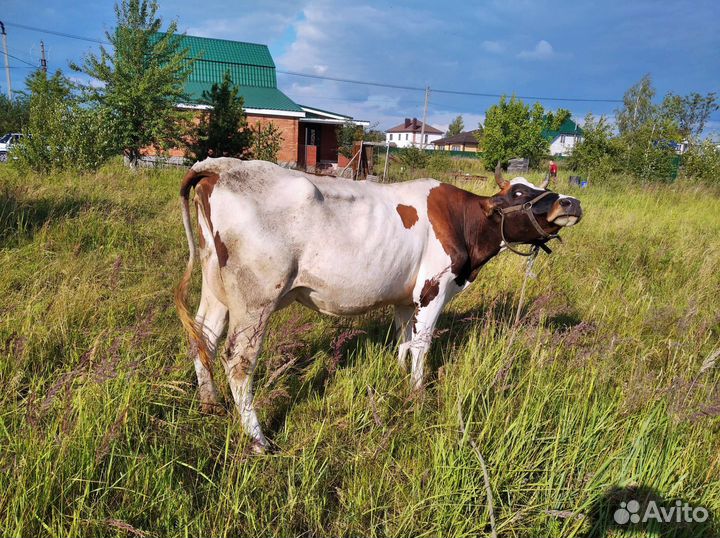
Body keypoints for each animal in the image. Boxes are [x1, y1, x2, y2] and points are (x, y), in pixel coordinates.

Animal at [175, 157, 583, 451]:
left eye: (544, 188)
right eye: (518, 194)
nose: (571, 202)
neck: (462, 222)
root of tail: (221, 166)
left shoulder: (405, 296)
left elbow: (404, 339)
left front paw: (399, 376)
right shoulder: (435, 289)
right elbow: (422, 344)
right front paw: (418, 394)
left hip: (215, 288)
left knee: (204, 338)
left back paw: (210, 404)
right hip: (255, 297)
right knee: (238, 360)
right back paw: (258, 438)